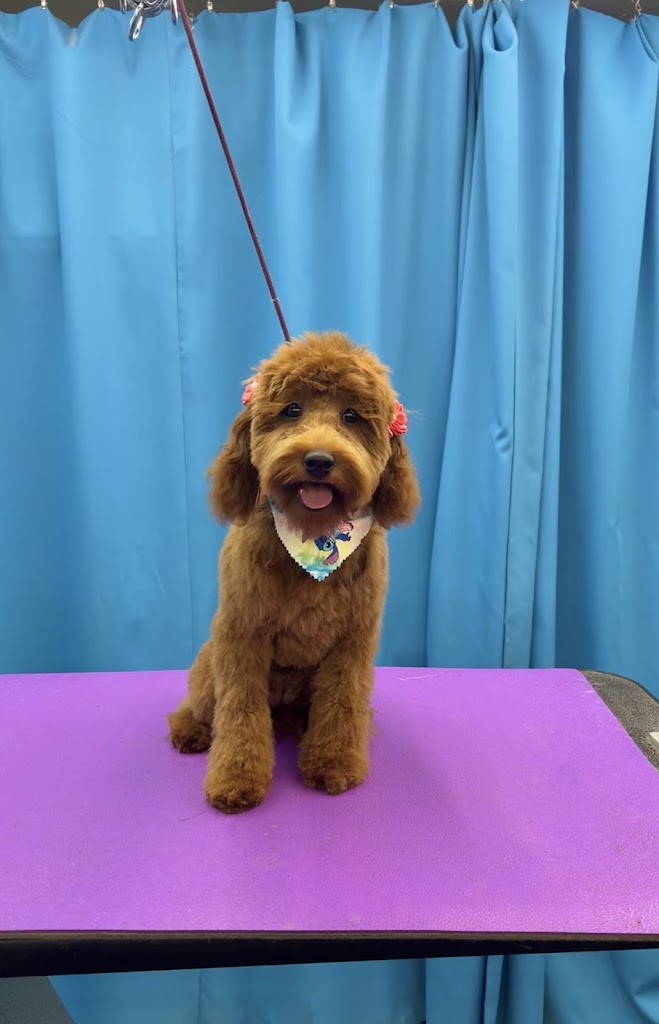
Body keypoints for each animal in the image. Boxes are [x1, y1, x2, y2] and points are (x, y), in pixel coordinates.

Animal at [168, 332, 420, 813]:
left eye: (351, 416)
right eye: (292, 410)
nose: (319, 460)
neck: (314, 538)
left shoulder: (353, 641)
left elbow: (342, 701)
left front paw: (334, 764)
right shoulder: (242, 635)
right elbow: (240, 710)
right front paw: (236, 779)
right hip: (210, 665)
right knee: (204, 705)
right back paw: (189, 729)